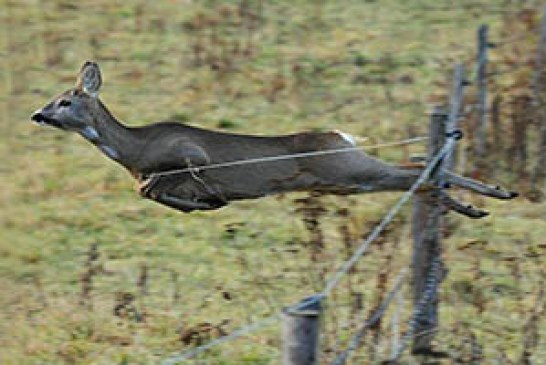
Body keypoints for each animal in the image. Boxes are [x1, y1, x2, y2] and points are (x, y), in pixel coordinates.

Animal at [30, 61, 516, 215]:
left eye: (65, 101)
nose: (37, 114)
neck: (135, 149)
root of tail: (339, 135)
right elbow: (149, 191)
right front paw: (208, 204)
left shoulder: (190, 153)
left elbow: (153, 186)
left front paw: (208, 201)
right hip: (348, 175)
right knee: (418, 168)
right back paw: (483, 201)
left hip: (345, 166)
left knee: (418, 170)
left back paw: (493, 196)